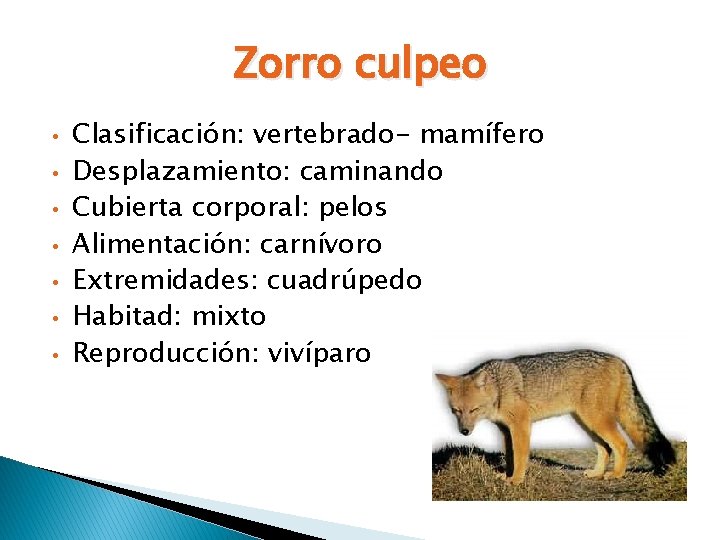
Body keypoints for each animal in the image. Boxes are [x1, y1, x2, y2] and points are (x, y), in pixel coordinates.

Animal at [435, 349, 676, 484]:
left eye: (474, 410)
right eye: (456, 411)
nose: (464, 432)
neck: (499, 388)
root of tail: (618, 360)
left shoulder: (521, 425)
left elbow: (520, 456)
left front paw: (516, 480)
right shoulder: (505, 429)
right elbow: (510, 456)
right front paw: (507, 476)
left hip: (595, 420)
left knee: (621, 444)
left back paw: (616, 475)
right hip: (586, 422)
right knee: (605, 448)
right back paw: (597, 473)